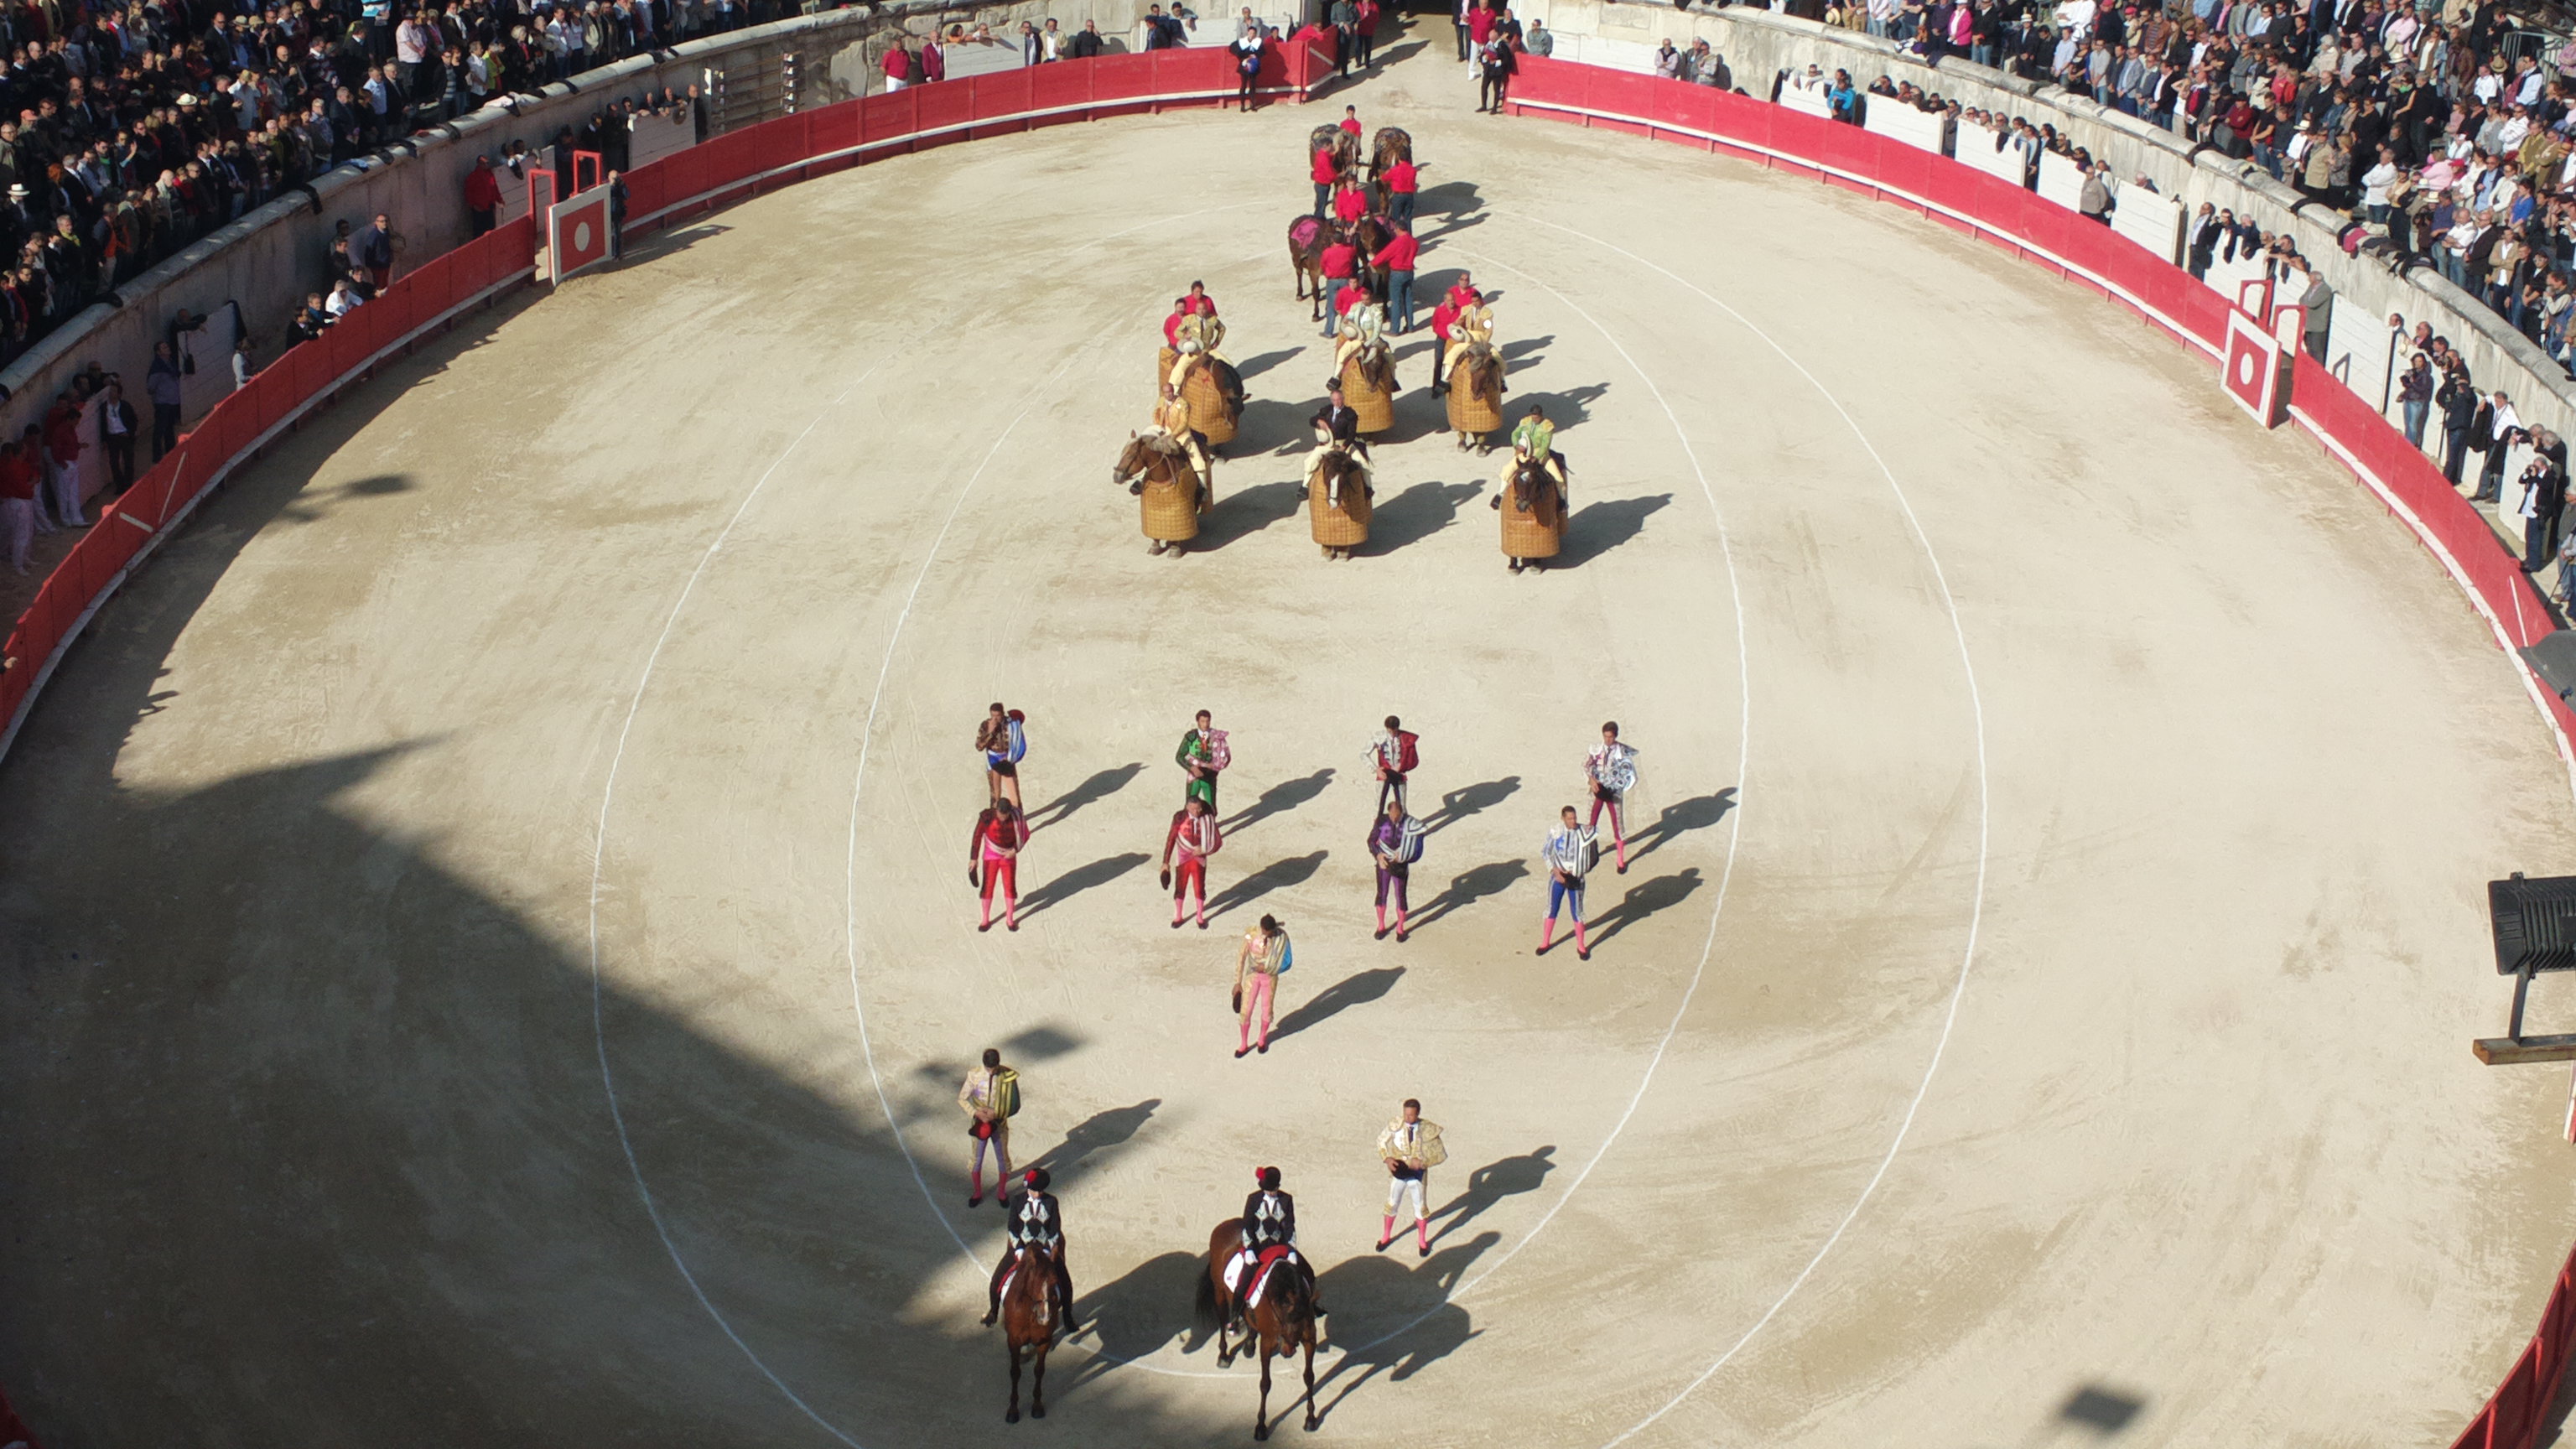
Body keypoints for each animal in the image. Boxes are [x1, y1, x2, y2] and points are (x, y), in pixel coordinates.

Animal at [994, 1237, 1056, 1412]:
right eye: (1035, 1282)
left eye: (1055, 1281)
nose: (1045, 1317)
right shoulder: (1013, 1340)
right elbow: (1015, 1372)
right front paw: (1013, 1409)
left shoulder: (1044, 1341)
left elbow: (1039, 1370)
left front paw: (1037, 1406)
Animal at [1200, 1212, 1329, 1433]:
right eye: (1282, 1321)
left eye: (1300, 1323)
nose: (1287, 1351)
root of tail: (1225, 1225)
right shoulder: (1268, 1342)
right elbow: (1265, 1383)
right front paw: (1261, 1426)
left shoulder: (1309, 1338)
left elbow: (1309, 1376)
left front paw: (1311, 1419)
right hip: (1220, 1294)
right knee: (1223, 1324)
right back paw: (1224, 1355)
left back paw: (1249, 1345)